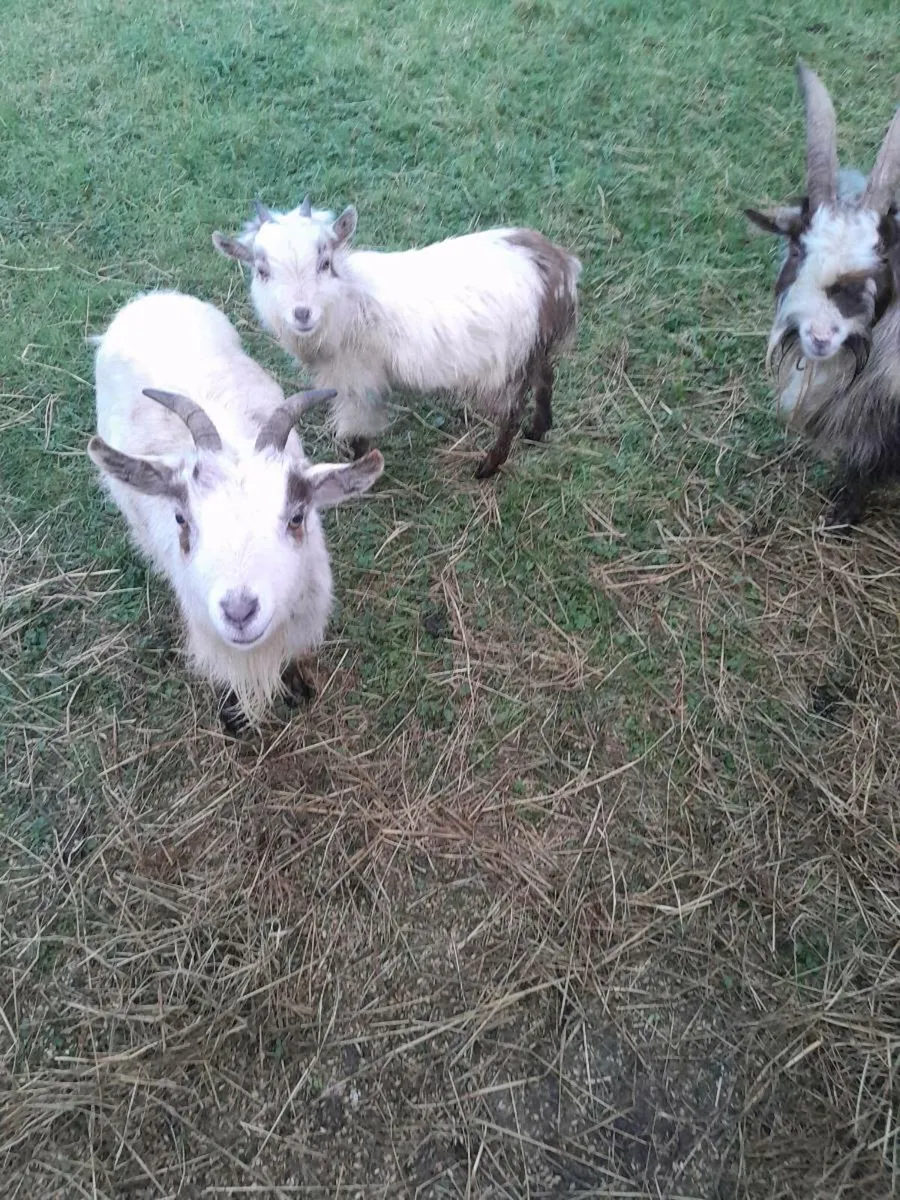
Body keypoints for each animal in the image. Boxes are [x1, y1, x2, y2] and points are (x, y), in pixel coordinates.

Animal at [212, 199, 581, 478]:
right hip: (534, 346)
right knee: (546, 376)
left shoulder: (358, 380)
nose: (302, 313)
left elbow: (358, 429)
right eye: (262, 271)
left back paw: (488, 466)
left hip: (506, 360)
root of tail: (559, 267)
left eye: (325, 263)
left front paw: (359, 465)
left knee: (511, 412)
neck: (350, 300)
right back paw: (539, 430)